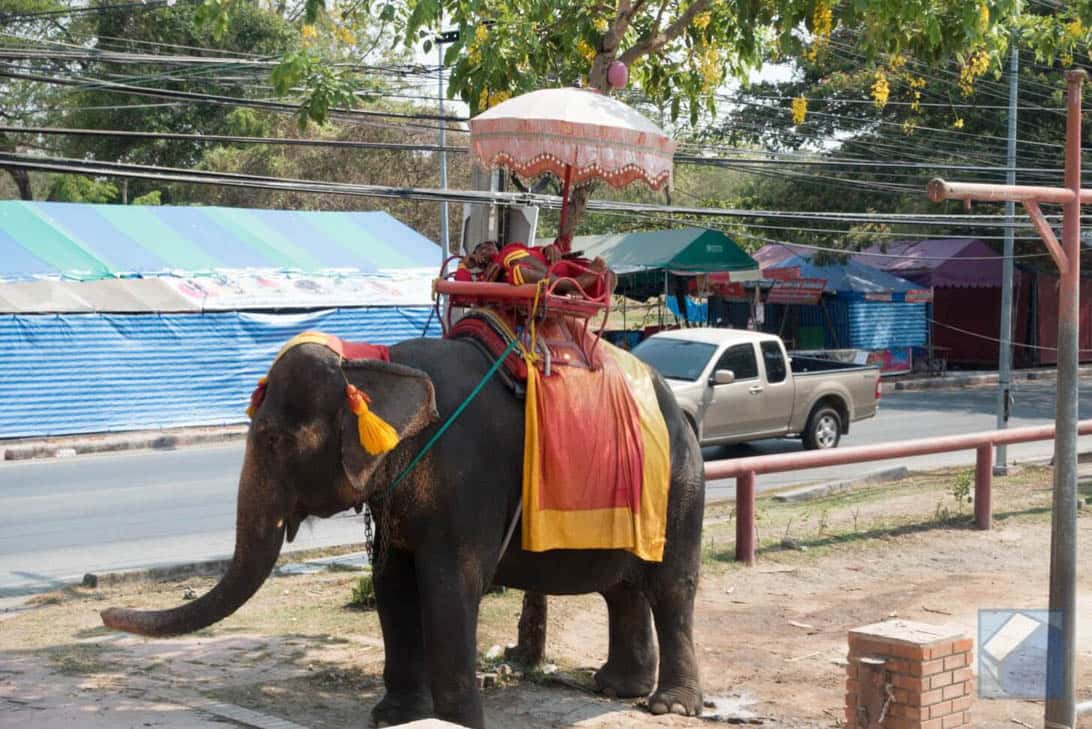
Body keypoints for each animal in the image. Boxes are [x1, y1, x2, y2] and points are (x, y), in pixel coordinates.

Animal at [102, 338, 707, 729]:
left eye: (274, 440)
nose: (106, 615)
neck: (374, 364)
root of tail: (680, 409)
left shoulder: (468, 480)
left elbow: (448, 585)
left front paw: (458, 723)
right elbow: (391, 582)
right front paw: (392, 716)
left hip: (682, 486)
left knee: (671, 590)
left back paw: (670, 706)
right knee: (622, 588)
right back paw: (617, 687)